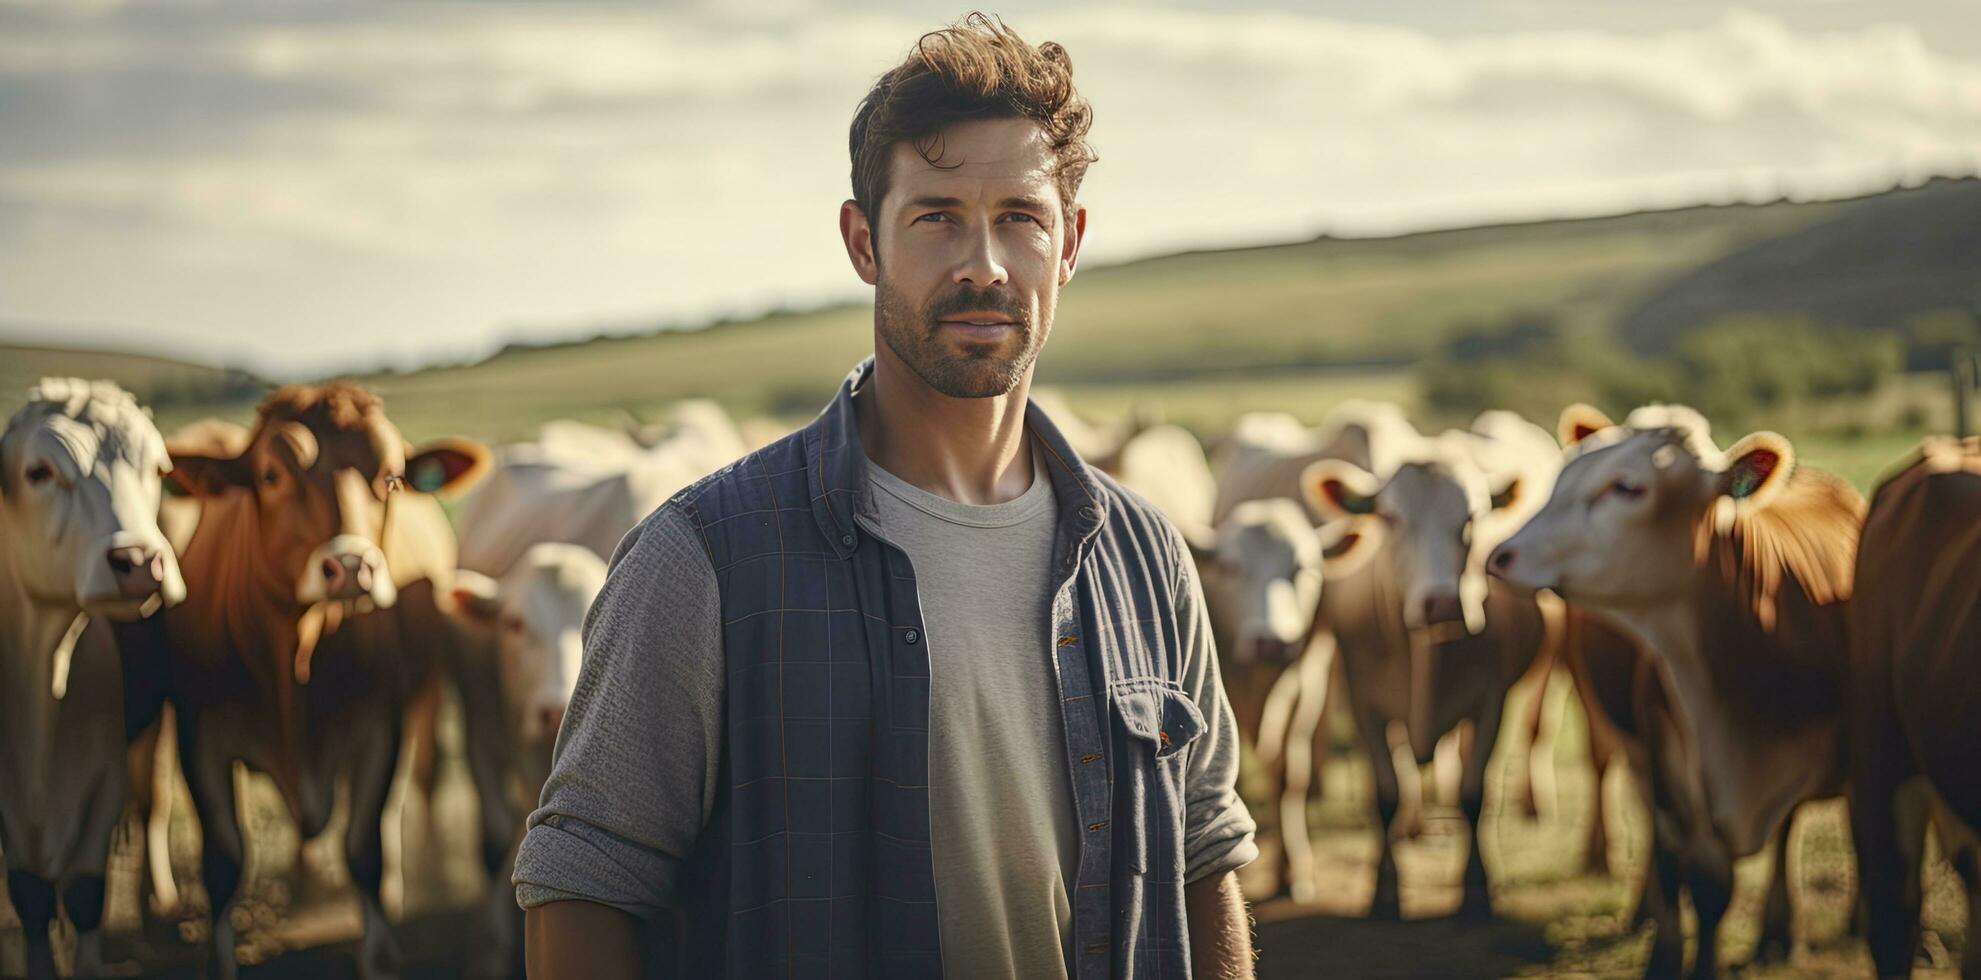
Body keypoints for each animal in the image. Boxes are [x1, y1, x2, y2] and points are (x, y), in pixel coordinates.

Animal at [158, 384, 491, 980]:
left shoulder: (379, 727)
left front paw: (377, 955)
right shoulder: (199, 735)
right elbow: (223, 859)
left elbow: (364, 847)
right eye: (270, 475)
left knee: (419, 783)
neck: (294, 656)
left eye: (391, 477)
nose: (352, 567)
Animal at [1489, 405, 1862, 974]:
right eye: (1565, 476)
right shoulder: (1666, 753)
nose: (1501, 554)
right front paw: (1667, 957)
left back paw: (1779, 931)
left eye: (1626, 487)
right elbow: (1694, 875)